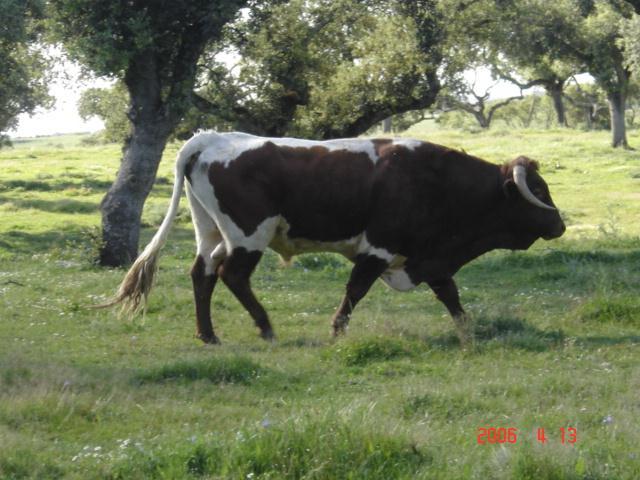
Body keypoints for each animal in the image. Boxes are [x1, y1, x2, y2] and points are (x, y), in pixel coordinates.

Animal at [106, 132, 564, 344]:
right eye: (539, 190)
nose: (559, 225)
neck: (437, 180)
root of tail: (210, 138)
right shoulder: (379, 247)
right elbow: (356, 290)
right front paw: (337, 330)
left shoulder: (428, 257)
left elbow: (449, 293)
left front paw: (468, 331)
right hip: (249, 235)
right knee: (232, 275)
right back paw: (265, 327)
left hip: (211, 230)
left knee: (202, 273)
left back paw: (209, 335)